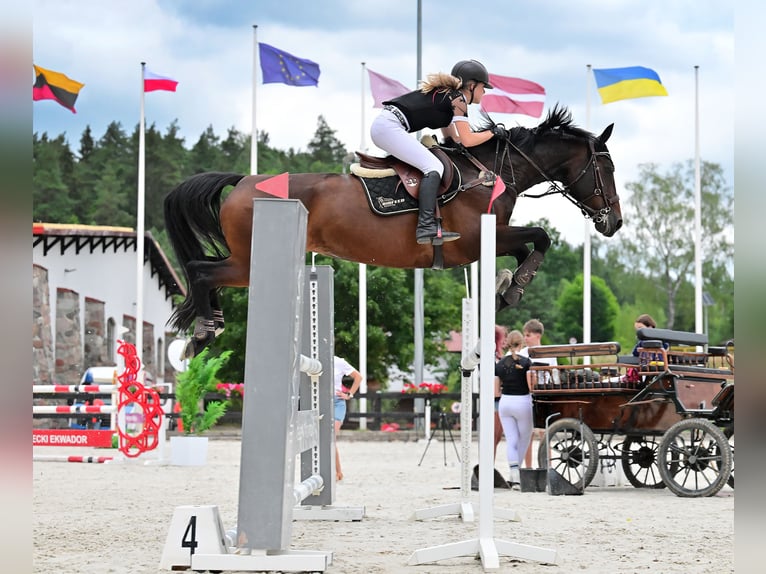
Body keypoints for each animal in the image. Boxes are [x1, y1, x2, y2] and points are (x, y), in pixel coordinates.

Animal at [164, 103, 624, 356]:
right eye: (606, 169)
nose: (614, 223)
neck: (493, 172)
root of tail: (242, 181)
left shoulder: (494, 238)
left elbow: (528, 248)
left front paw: (507, 288)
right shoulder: (476, 241)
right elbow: (541, 237)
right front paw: (510, 291)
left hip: (247, 260)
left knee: (205, 271)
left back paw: (207, 327)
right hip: (248, 262)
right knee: (201, 271)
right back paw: (203, 333)